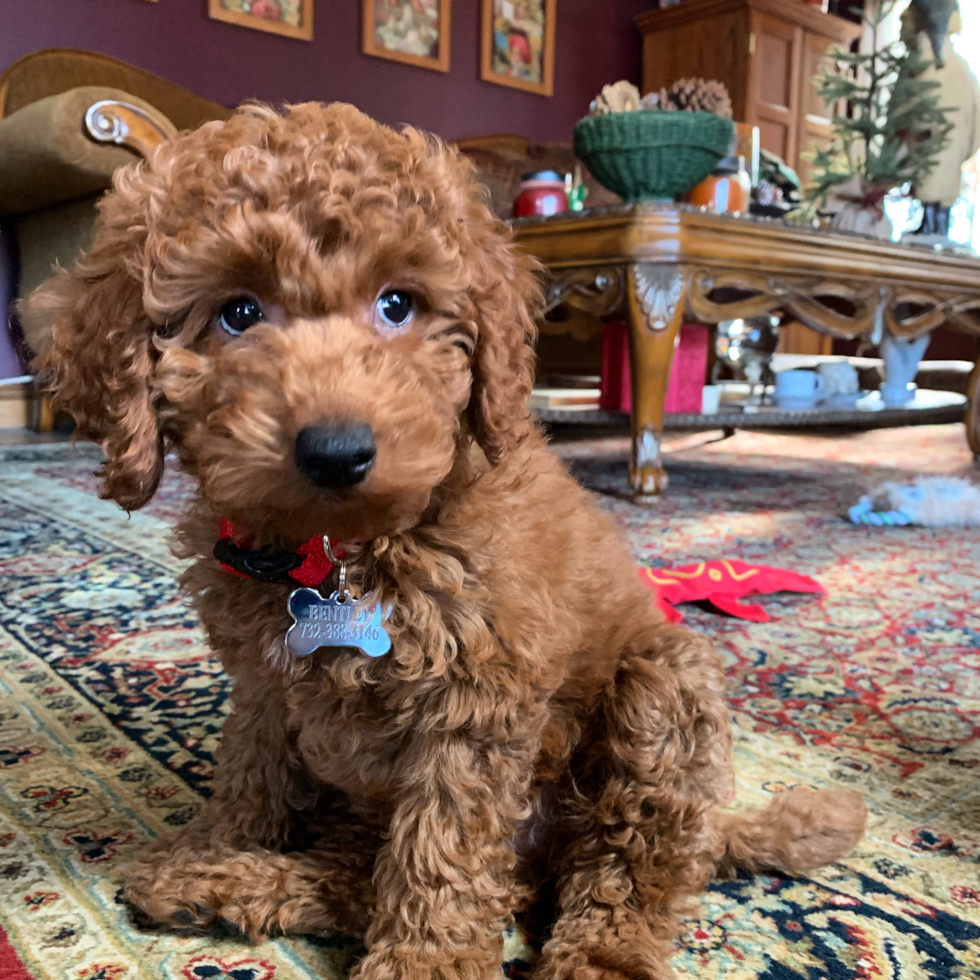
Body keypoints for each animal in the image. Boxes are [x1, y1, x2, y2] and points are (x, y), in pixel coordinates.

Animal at [24, 105, 864, 980]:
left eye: (398, 304)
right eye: (238, 313)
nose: (337, 452)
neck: (343, 551)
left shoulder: (475, 700)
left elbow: (442, 847)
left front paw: (424, 962)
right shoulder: (263, 681)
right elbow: (251, 773)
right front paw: (222, 840)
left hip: (662, 692)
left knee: (627, 869)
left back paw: (599, 952)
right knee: (365, 879)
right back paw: (210, 882)